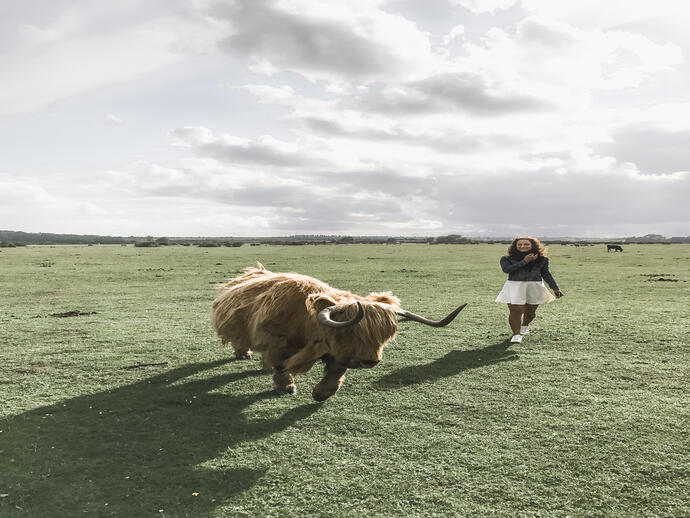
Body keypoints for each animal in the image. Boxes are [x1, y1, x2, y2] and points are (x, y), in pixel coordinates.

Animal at [212, 264, 466, 401]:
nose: (371, 361)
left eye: (382, 338)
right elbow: (280, 365)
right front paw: (286, 387)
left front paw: (321, 393)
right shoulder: (277, 343)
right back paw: (244, 353)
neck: (306, 321)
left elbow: (336, 371)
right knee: (242, 342)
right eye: (351, 333)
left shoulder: (338, 353)